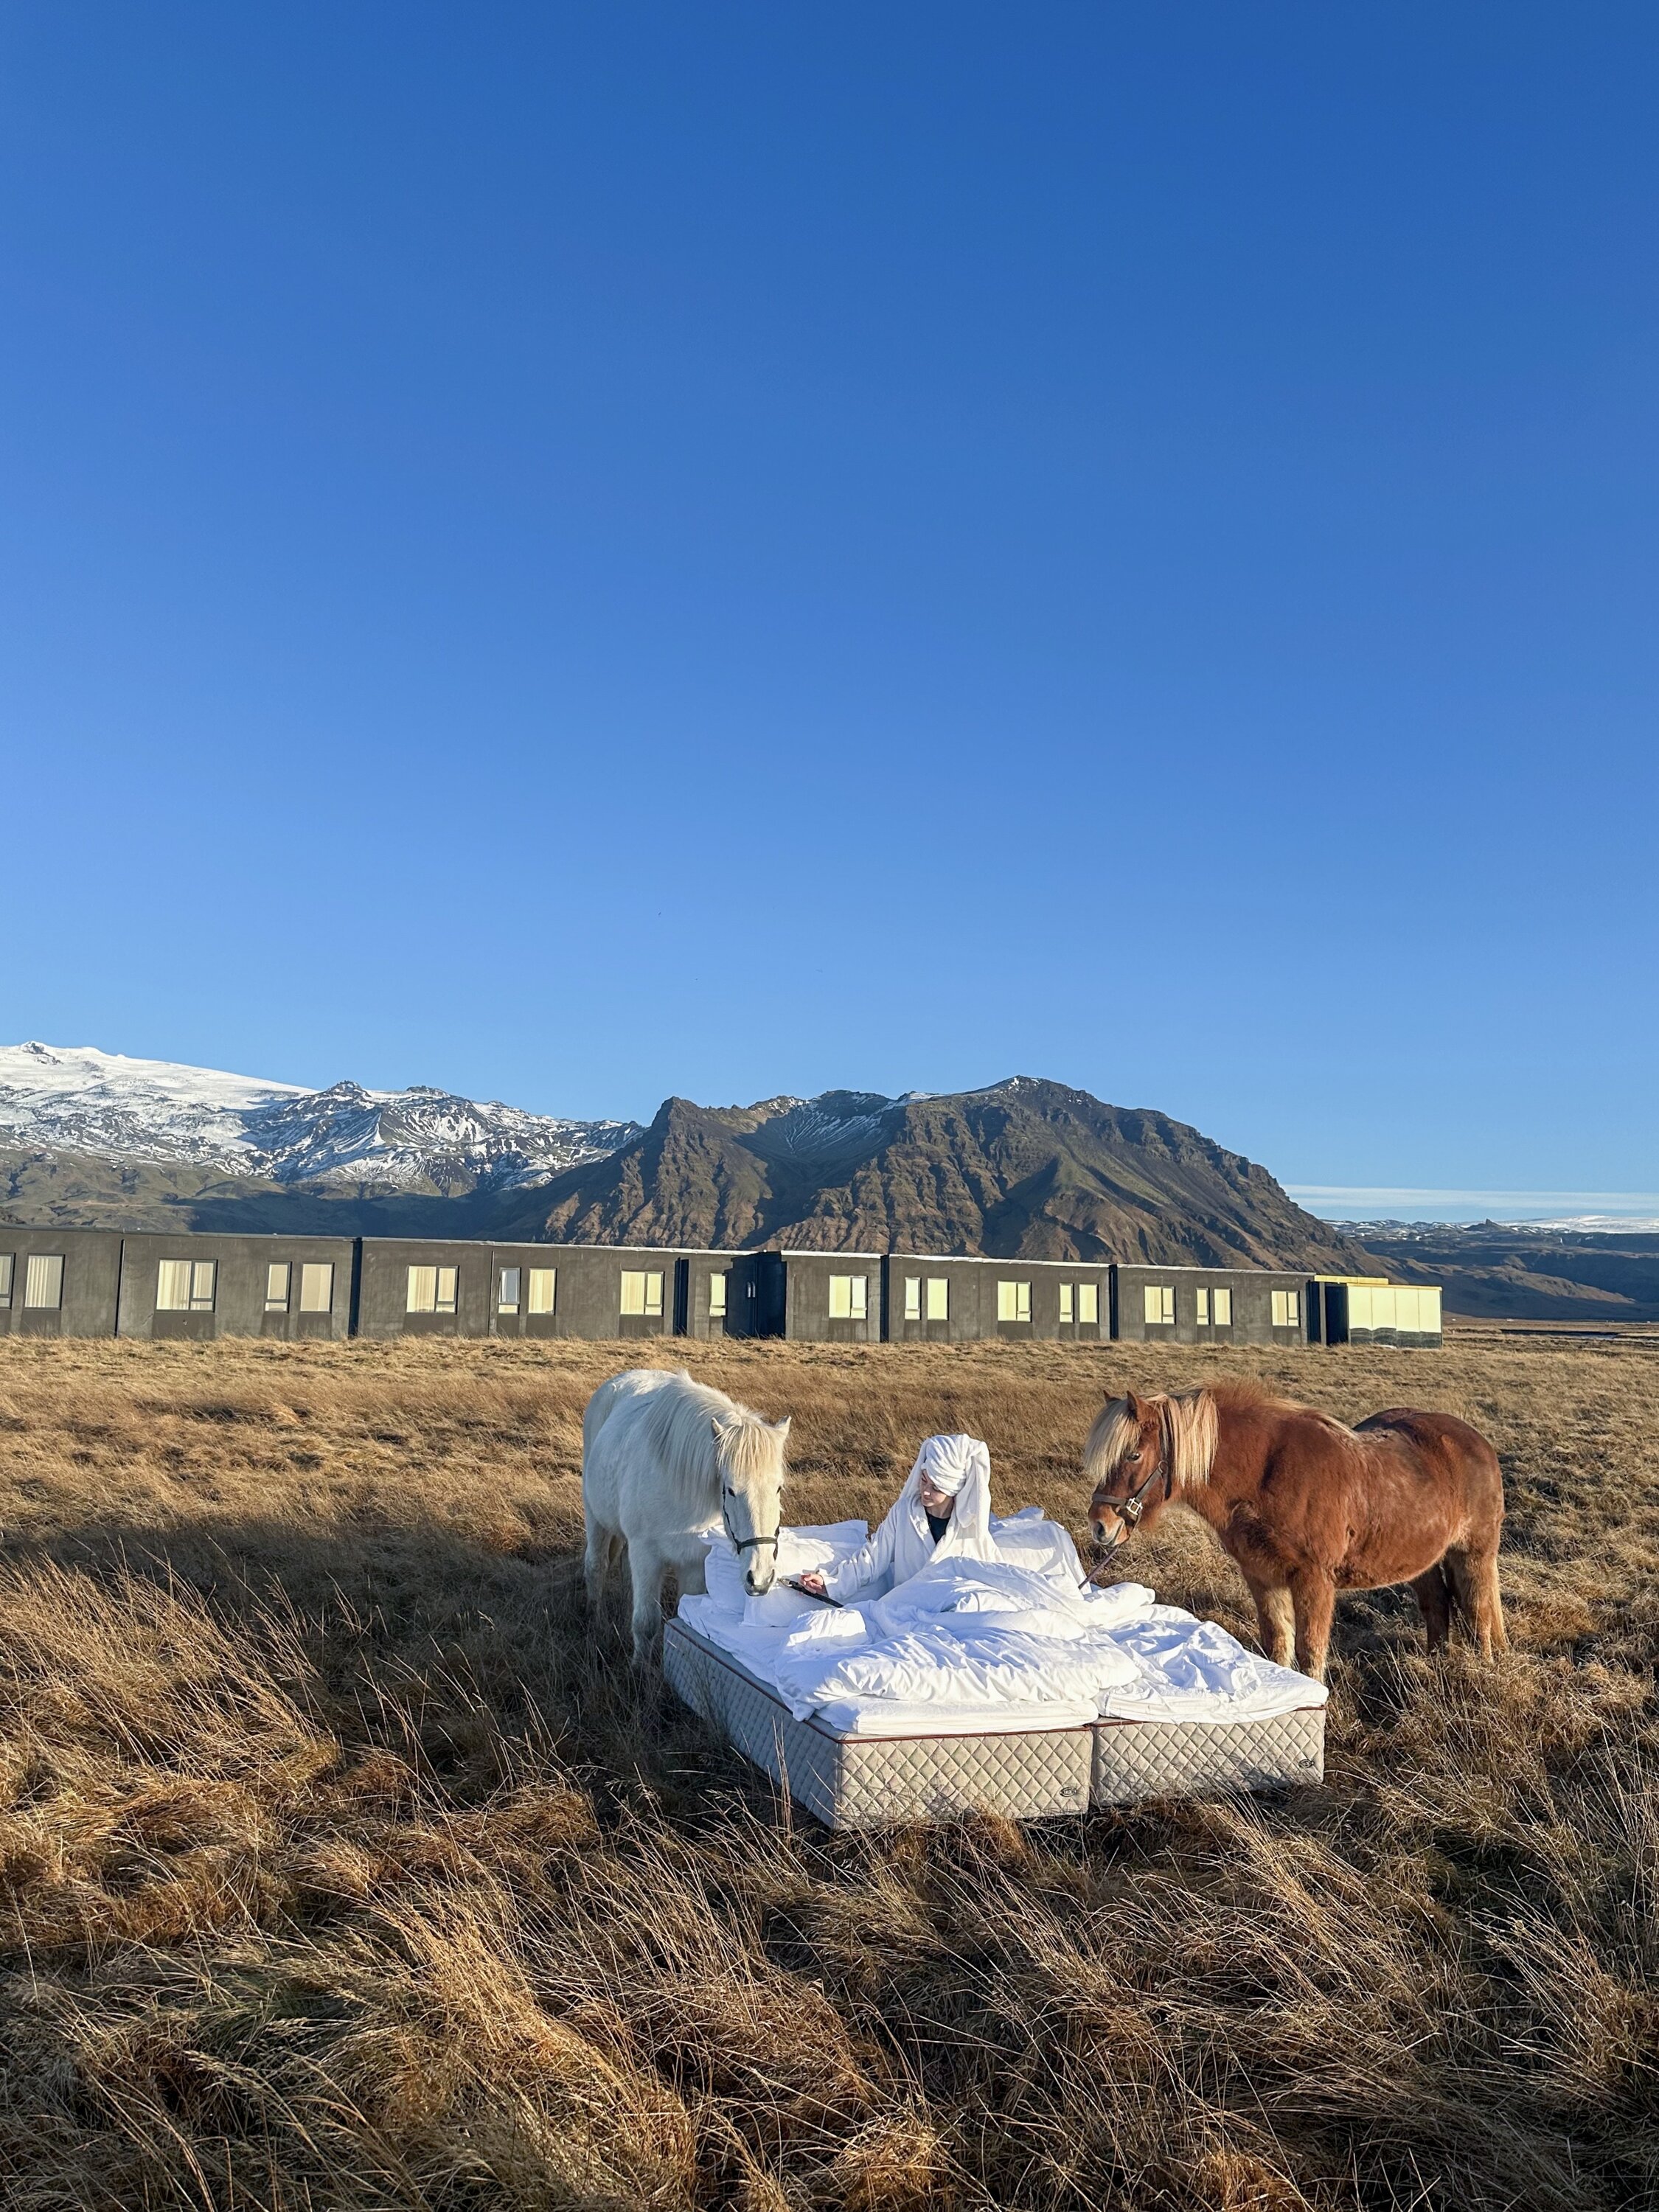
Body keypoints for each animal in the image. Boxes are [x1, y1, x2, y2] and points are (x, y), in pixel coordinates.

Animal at [581, 1367, 790, 1659]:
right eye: (730, 1490)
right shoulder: (646, 1556)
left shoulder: (693, 1563)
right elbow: (646, 1623)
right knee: (596, 1566)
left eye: (778, 1488)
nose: (759, 1579)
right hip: (595, 1517)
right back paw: (597, 1621)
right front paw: (639, 1668)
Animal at [1082, 1380, 1506, 1681]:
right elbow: (1277, 1643)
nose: (1100, 1525)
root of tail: (1476, 1441)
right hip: (1420, 1560)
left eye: (1134, 1454)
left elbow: (1310, 1650)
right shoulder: (1262, 1576)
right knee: (1438, 1605)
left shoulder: (1314, 1579)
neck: (1267, 1474)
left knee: (1479, 1612)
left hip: (1474, 1554)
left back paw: (1481, 1671)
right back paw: (1437, 1665)